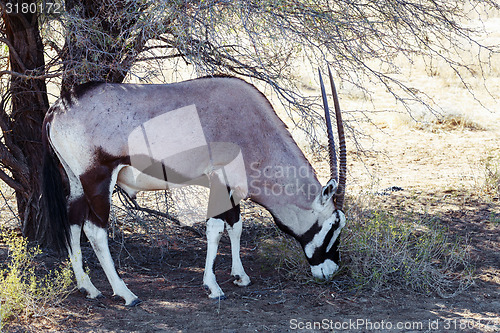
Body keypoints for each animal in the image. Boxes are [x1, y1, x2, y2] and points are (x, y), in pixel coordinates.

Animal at [39, 67, 346, 306]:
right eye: (333, 225)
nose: (330, 271)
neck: (253, 130)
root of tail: (56, 110)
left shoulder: (231, 188)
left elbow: (235, 225)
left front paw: (240, 276)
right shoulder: (219, 179)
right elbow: (215, 228)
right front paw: (213, 287)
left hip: (76, 180)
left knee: (73, 221)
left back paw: (88, 287)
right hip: (98, 179)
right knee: (95, 230)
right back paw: (126, 294)